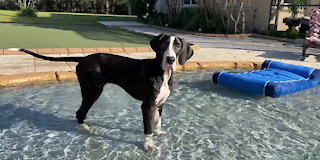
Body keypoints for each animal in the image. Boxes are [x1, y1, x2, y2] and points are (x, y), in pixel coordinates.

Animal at [8, 33, 195, 151]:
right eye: (164, 45)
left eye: (178, 46)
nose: (170, 59)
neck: (162, 73)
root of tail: (83, 58)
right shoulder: (147, 105)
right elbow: (148, 129)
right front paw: (148, 145)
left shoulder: (159, 104)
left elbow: (157, 122)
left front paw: (159, 133)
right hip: (93, 91)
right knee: (79, 112)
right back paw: (85, 129)